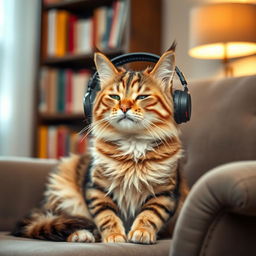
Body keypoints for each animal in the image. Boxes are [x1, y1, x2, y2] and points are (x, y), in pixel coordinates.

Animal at [12, 43, 188, 244]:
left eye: (142, 97)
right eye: (115, 97)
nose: (124, 107)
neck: (132, 143)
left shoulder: (165, 191)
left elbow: (151, 214)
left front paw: (142, 232)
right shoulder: (97, 188)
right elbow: (107, 216)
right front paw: (114, 236)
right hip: (66, 189)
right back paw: (81, 234)